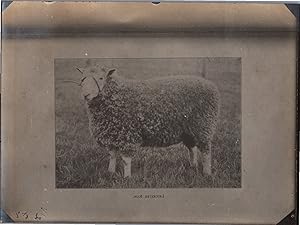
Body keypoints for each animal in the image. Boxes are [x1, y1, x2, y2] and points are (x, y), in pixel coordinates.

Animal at [74, 64, 220, 178]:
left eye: (101, 78)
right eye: (82, 79)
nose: (85, 95)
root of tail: (211, 85)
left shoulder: (127, 134)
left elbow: (126, 160)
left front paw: (127, 177)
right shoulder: (112, 134)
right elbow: (112, 155)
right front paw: (110, 172)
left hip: (203, 125)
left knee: (206, 151)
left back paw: (206, 172)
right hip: (188, 130)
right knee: (192, 148)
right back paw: (192, 165)